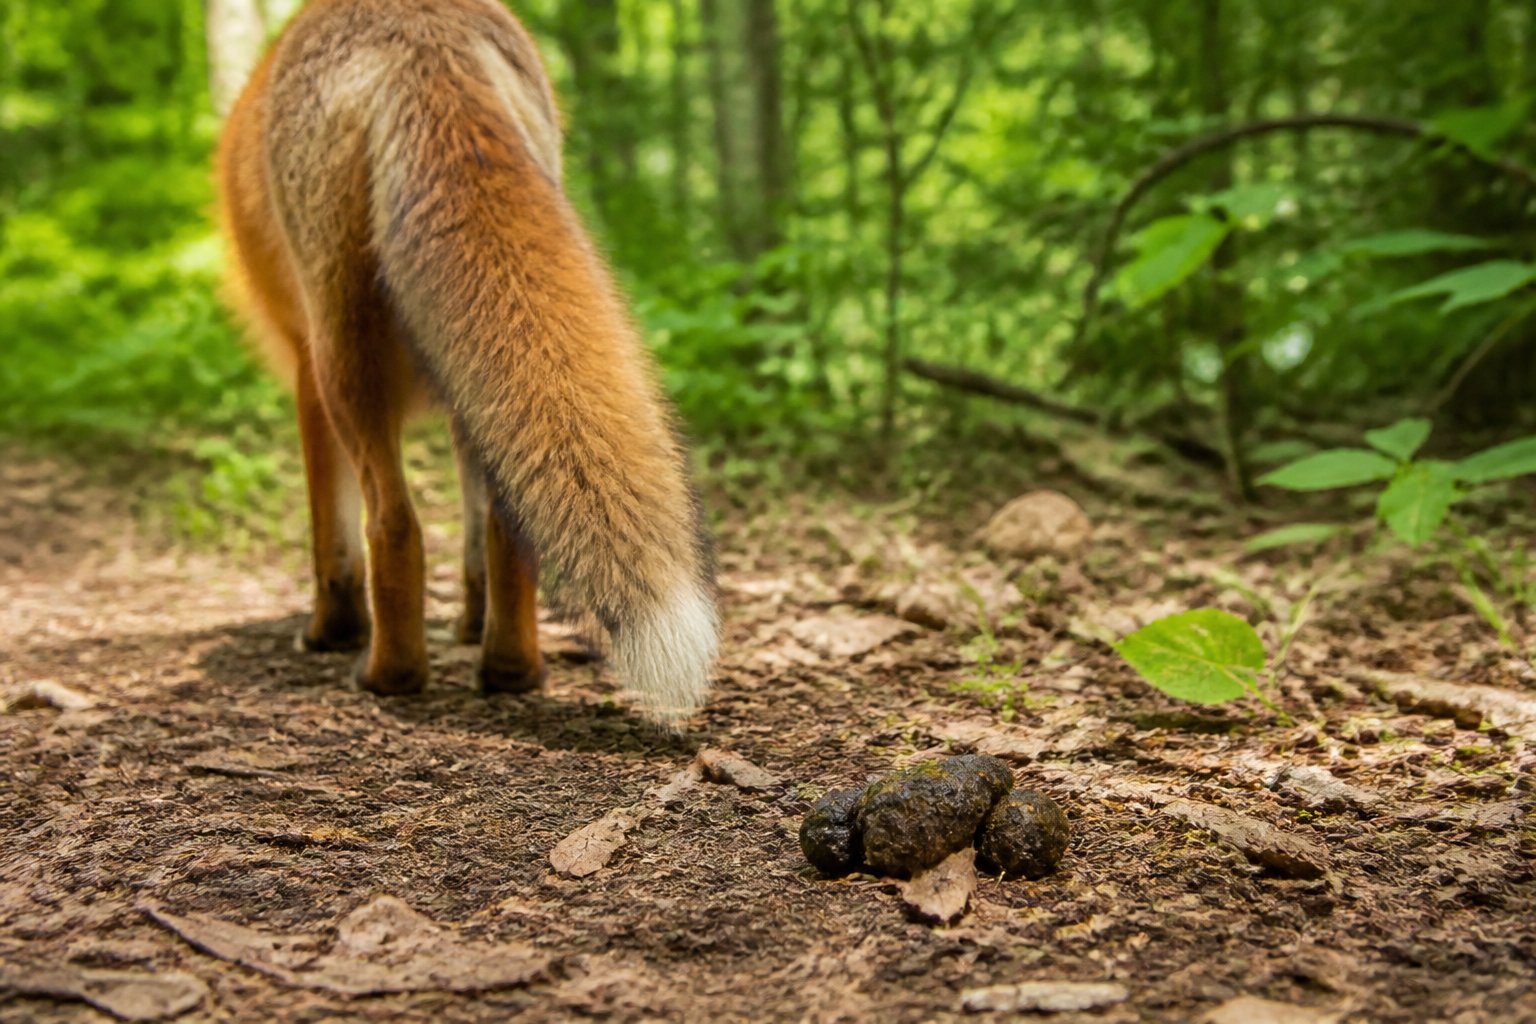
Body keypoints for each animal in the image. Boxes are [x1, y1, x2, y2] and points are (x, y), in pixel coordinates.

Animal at [216, 0, 718, 724]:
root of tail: (424, 31)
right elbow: (477, 542)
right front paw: (471, 625)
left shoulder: (306, 369)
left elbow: (331, 540)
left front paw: (330, 632)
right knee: (507, 528)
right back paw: (510, 667)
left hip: (344, 359)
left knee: (393, 524)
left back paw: (388, 674)